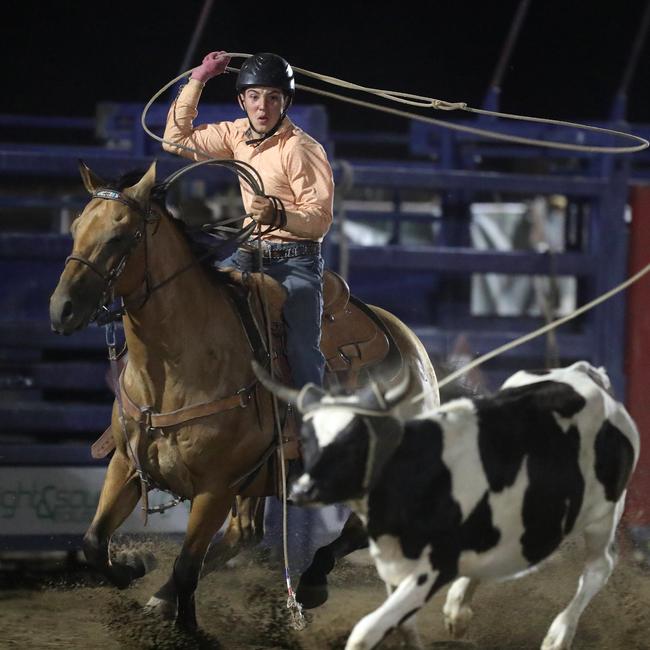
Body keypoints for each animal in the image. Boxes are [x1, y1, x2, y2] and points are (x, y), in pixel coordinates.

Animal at [48, 162, 438, 632]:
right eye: (76, 227)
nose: (61, 309)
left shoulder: (215, 487)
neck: (179, 367)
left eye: (121, 236)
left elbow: (187, 566)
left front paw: (186, 626)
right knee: (243, 534)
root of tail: (412, 347)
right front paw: (136, 569)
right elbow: (94, 542)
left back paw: (312, 583)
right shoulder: (126, 464)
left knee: (356, 532)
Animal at [253, 360, 636, 648]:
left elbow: (365, 631)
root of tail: (586, 375)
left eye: (354, 442)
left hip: (603, 515)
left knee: (598, 568)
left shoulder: (433, 566)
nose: (300, 490)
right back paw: (457, 611)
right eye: (306, 437)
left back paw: (558, 635)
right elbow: (401, 625)